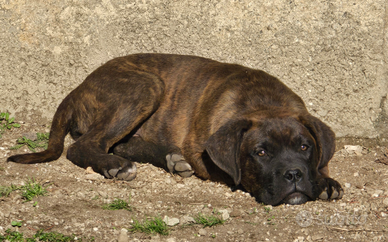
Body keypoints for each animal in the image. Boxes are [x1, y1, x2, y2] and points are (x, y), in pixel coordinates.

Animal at [7, 53, 342, 204]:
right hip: (145, 87)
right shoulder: (201, 151)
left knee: (120, 143)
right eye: (260, 153)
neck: (264, 102)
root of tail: (79, 87)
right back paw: (115, 165)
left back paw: (169, 158)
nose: (294, 174)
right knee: (85, 146)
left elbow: (322, 165)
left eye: (304, 147)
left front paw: (324, 181)